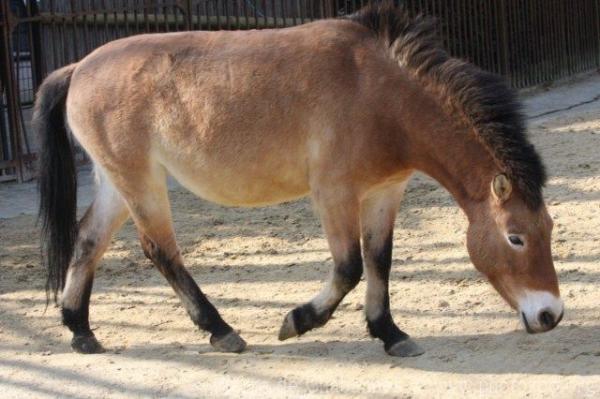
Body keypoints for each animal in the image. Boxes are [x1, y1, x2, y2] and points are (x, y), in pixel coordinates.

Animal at [36, 2, 564, 360]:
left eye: (549, 230)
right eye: (515, 237)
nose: (550, 315)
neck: (379, 94)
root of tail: (79, 67)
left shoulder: (384, 193)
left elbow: (380, 261)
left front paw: (390, 333)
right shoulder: (334, 195)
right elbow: (349, 267)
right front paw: (297, 321)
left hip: (118, 183)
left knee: (88, 241)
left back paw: (81, 330)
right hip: (140, 182)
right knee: (160, 251)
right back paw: (220, 330)